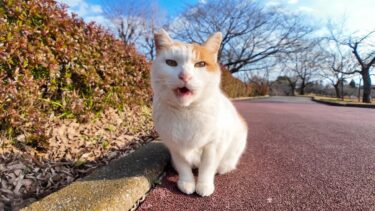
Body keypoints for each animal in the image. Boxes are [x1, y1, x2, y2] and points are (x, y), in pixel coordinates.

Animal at [151, 28, 248, 197]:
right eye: (171, 63)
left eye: (201, 64)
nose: (184, 76)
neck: (186, 112)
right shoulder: (174, 146)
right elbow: (183, 166)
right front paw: (187, 183)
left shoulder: (213, 145)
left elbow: (207, 167)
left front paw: (204, 185)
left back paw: (223, 168)